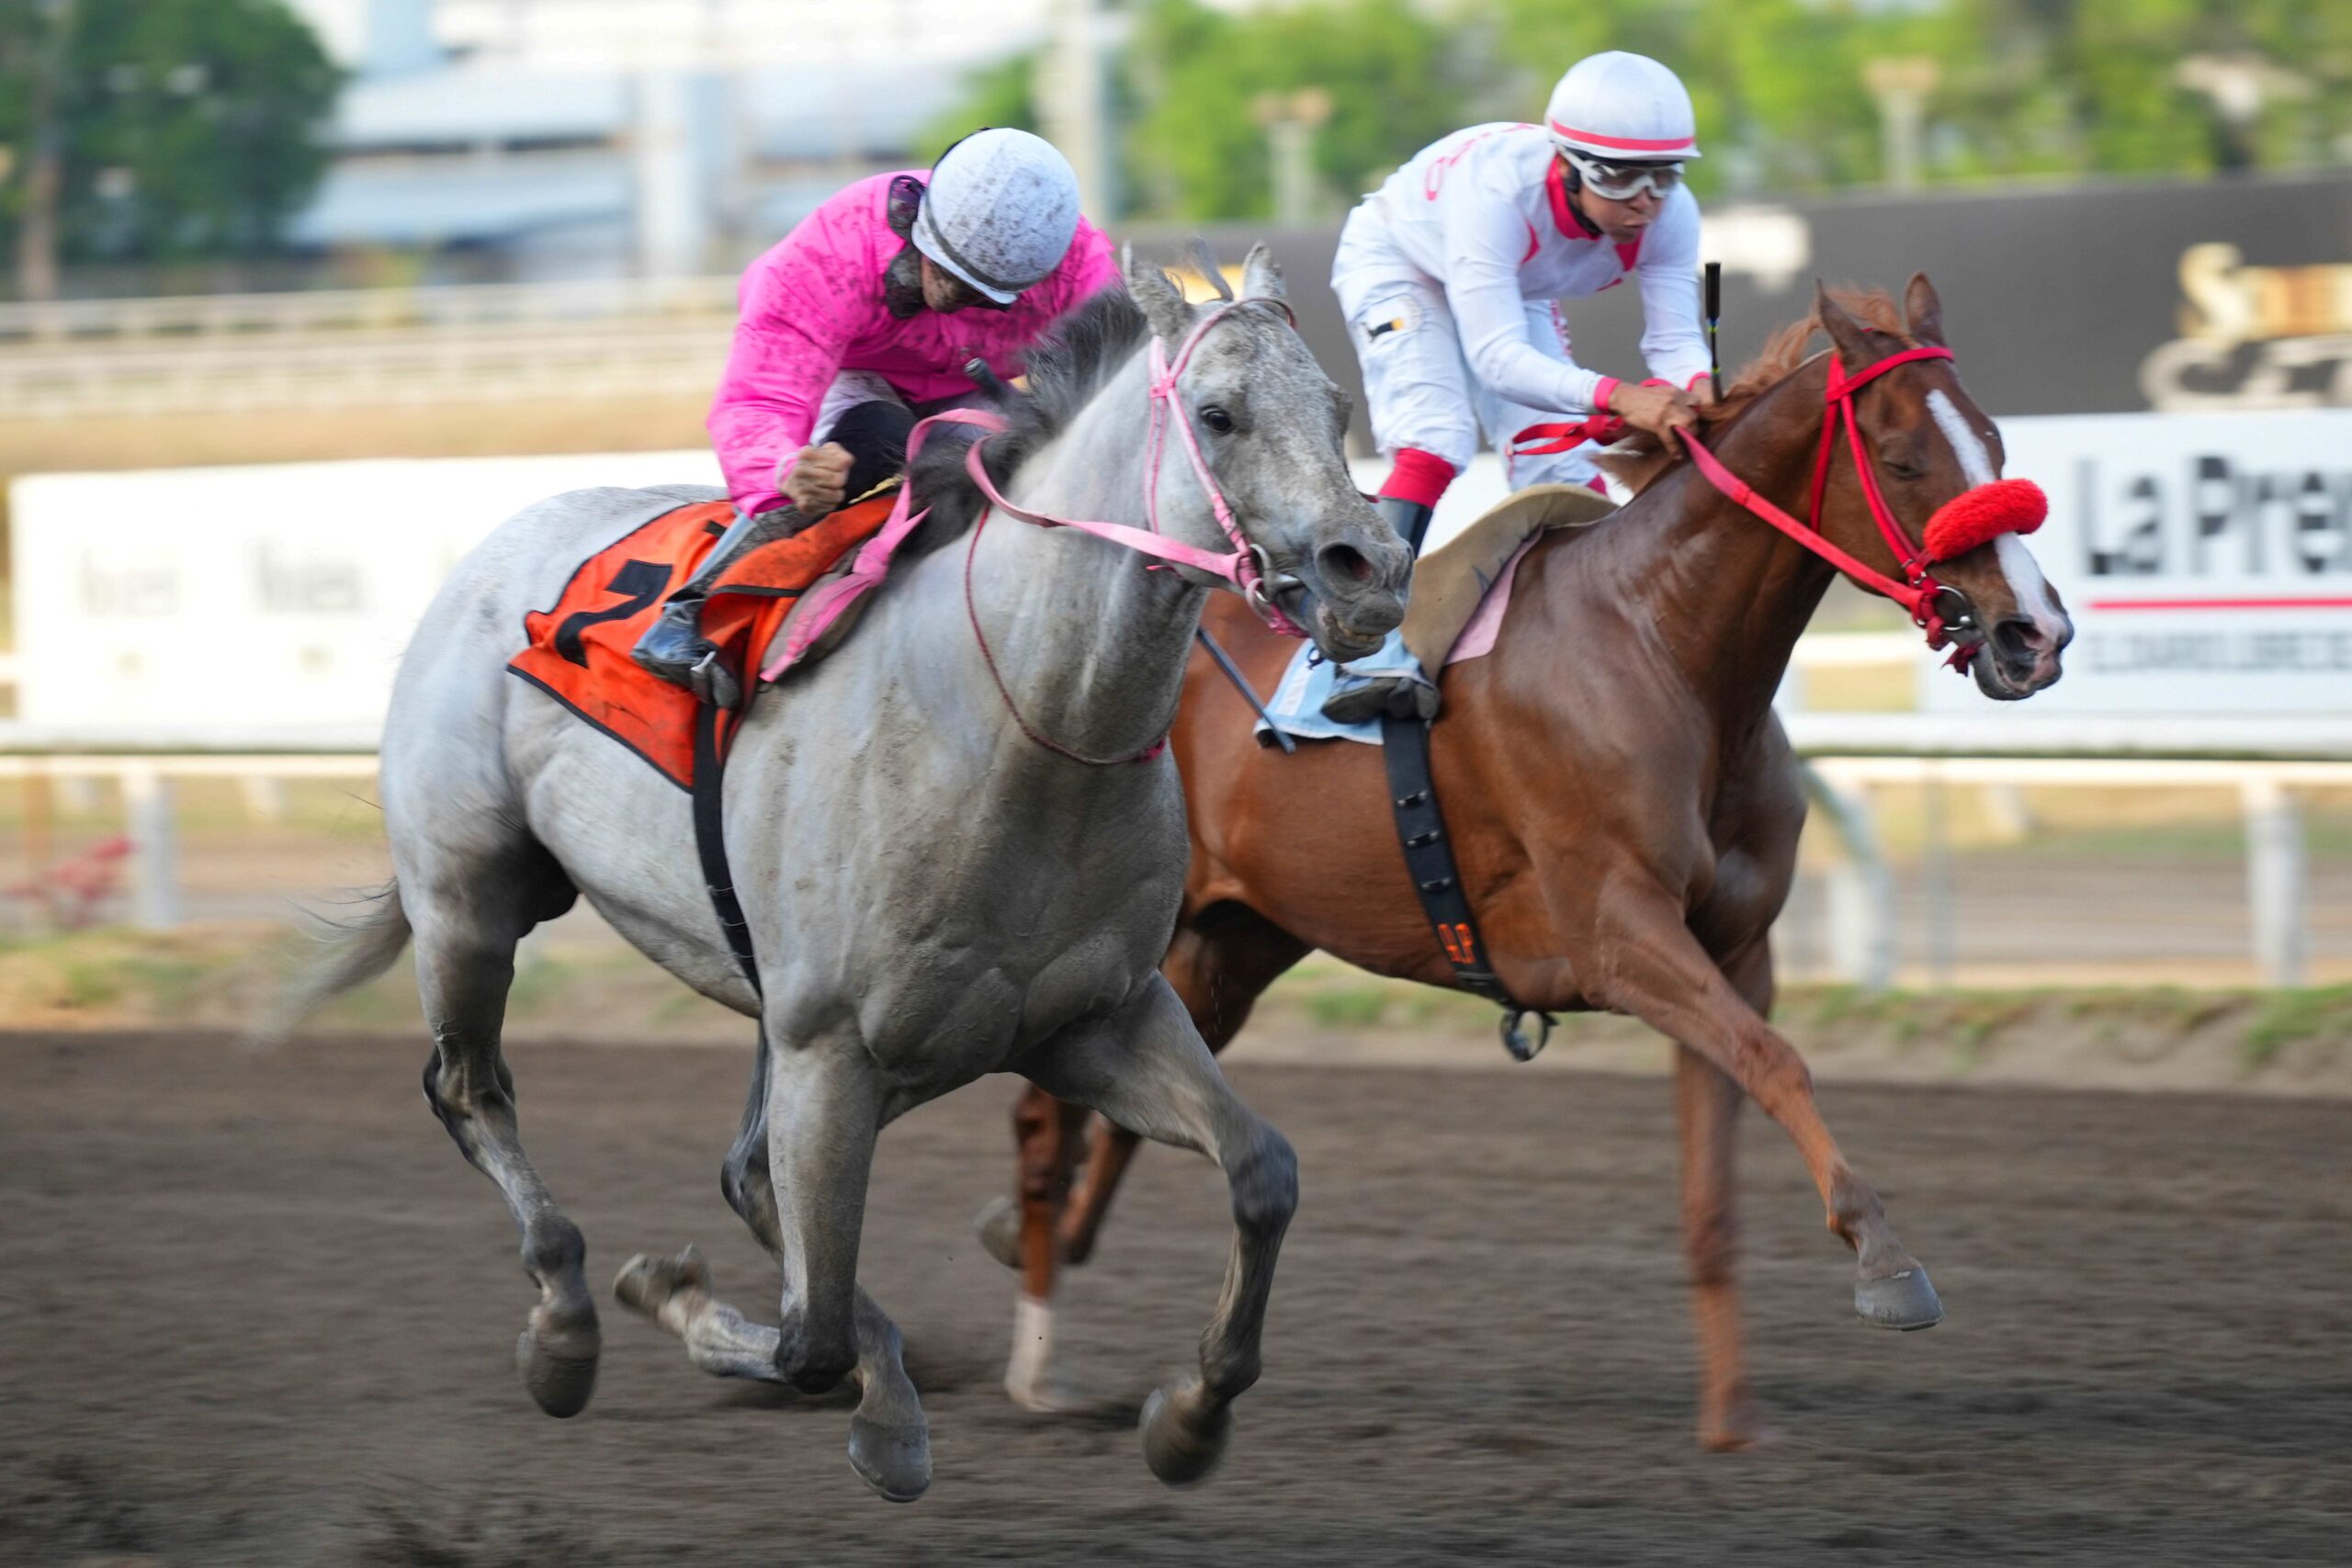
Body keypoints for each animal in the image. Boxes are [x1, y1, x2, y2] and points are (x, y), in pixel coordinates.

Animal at [289, 246, 1412, 1501]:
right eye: (1217, 415)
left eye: (1338, 406)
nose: (1367, 572)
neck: (1014, 727)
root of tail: (484, 558)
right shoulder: (834, 1046)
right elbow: (814, 1338)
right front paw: (868, 1409)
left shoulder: (1098, 1018)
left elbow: (1263, 1171)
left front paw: (1190, 1415)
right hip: (468, 899)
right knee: (471, 1086)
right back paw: (567, 1322)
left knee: (741, 1177)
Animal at [986, 275, 2074, 1450]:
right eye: (1906, 458)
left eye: (1995, 441)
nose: (2033, 633)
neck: (1665, 646)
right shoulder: (1617, 935)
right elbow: (1781, 1064)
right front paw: (1887, 1264)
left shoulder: (1732, 952)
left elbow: (1721, 1165)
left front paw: (1733, 1419)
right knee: (1046, 1118)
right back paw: (1037, 1364)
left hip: (1230, 941)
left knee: (1116, 1119)